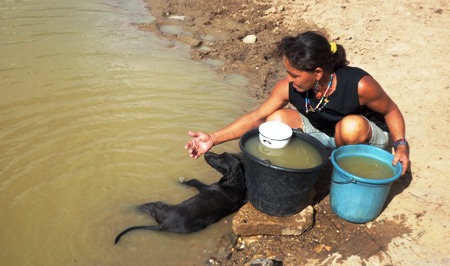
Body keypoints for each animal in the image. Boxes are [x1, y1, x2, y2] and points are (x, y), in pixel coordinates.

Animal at [113, 151, 246, 244]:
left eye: (221, 161)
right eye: (223, 153)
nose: (207, 153)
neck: (236, 181)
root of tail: (165, 224)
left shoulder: (205, 188)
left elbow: (193, 180)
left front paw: (182, 181)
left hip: (157, 205)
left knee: (140, 206)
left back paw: (125, 207)